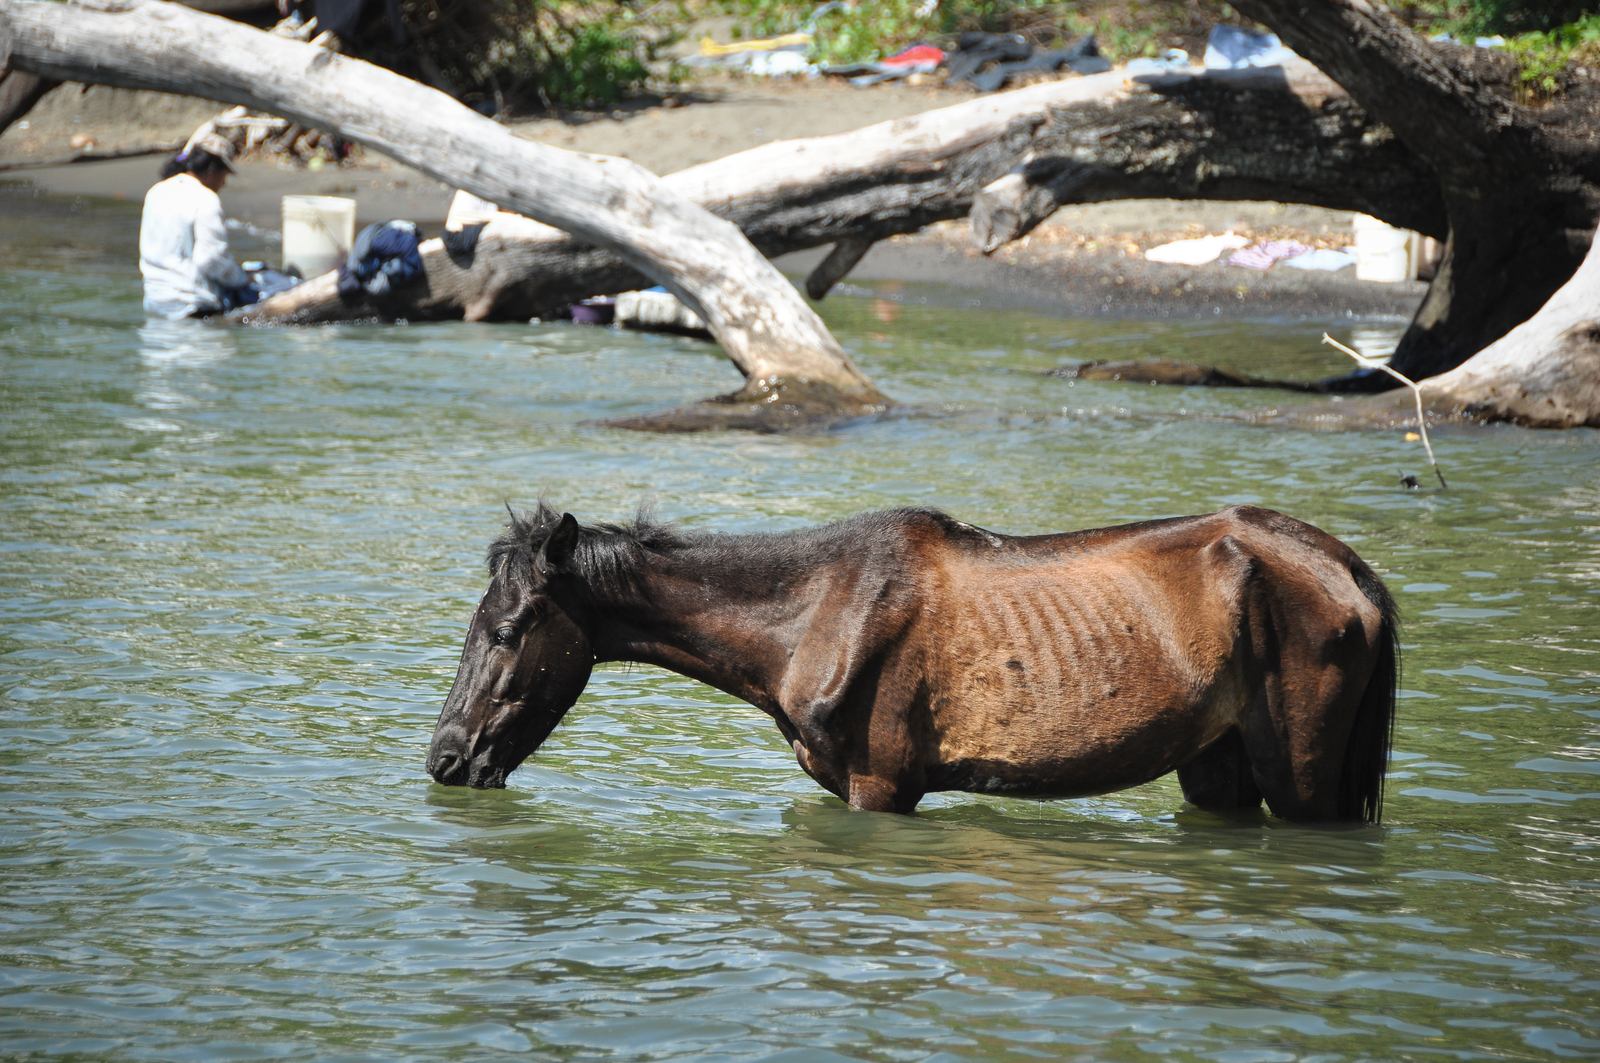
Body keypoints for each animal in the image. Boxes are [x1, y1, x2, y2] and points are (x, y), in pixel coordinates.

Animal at [426, 503, 1399, 823]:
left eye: (506, 630)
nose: (446, 757)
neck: (813, 612)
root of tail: (1349, 570)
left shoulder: (884, 784)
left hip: (1303, 776)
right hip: (1220, 765)